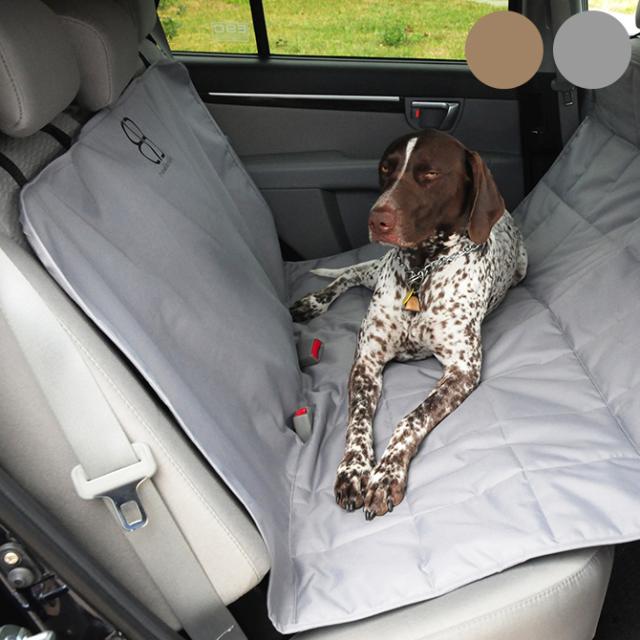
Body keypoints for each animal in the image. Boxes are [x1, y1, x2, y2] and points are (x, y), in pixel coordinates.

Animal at [291, 129, 527, 520]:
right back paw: (313, 302)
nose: (377, 220)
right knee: (351, 273)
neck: (423, 270)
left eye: (430, 174)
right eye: (385, 168)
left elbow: (411, 418)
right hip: (375, 270)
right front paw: (354, 469)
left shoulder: (463, 369)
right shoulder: (366, 362)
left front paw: (386, 474)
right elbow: (357, 420)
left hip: (523, 266)